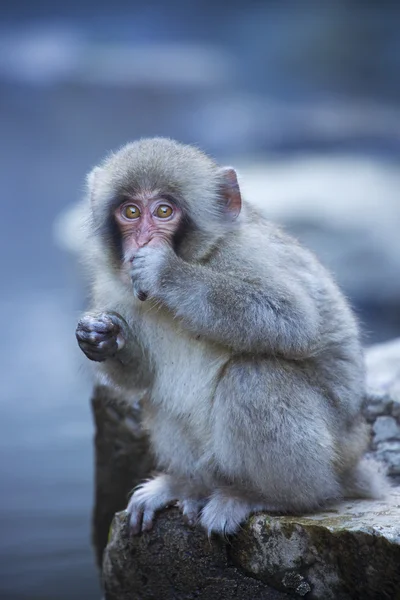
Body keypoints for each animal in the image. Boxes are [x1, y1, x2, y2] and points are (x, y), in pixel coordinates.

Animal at [75, 137, 384, 536]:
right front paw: (101, 337)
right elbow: (141, 377)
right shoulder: (112, 285)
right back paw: (189, 485)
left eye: (163, 211)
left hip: (337, 453)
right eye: (130, 211)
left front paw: (165, 272)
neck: (198, 256)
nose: (142, 240)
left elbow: (294, 320)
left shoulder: (245, 253)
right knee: (158, 398)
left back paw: (275, 497)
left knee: (254, 376)